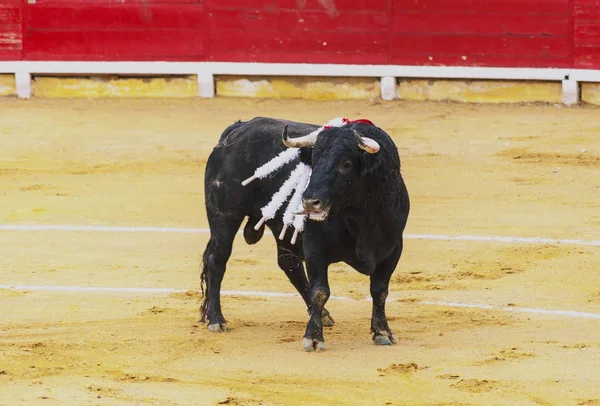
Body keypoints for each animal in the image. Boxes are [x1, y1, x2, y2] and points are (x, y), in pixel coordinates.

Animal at [199, 117, 410, 352]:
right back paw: (216, 319)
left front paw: (382, 332)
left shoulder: (392, 249)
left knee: (288, 264)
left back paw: (323, 315)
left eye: (345, 164)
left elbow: (379, 290)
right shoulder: (315, 248)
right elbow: (320, 291)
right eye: (314, 162)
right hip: (224, 218)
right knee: (217, 261)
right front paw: (313, 337)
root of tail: (236, 130)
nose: (309, 201)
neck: (360, 215)